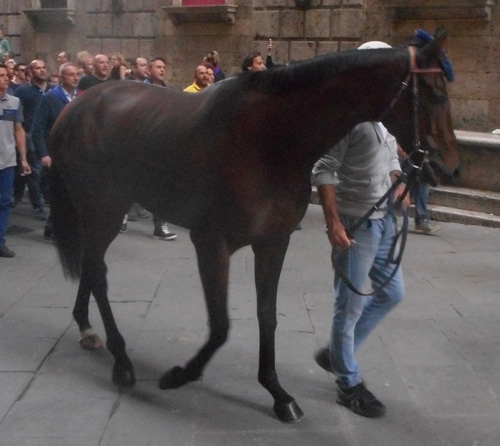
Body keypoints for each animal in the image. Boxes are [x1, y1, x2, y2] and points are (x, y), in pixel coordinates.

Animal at [48, 30, 458, 422]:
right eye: (436, 95)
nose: (450, 167)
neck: (270, 141)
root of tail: (72, 107)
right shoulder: (211, 244)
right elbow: (220, 326)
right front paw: (179, 375)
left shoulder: (273, 242)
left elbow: (267, 316)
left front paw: (276, 391)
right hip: (102, 208)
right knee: (98, 272)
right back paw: (122, 362)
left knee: (91, 266)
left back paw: (85, 326)